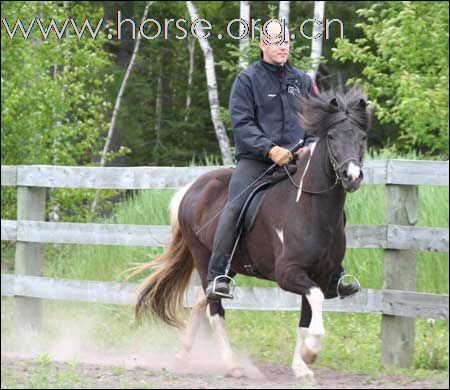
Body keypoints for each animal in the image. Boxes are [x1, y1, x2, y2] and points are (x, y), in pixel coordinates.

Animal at [133, 87, 370, 378]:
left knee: (204, 296)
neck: (309, 209)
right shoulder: (288, 273)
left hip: (228, 264)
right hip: (202, 255)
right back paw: (232, 365)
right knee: (214, 307)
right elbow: (314, 300)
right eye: (332, 136)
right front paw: (311, 352)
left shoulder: (321, 275)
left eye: (362, 137)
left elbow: (307, 316)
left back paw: (182, 355)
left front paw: (301, 366)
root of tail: (191, 189)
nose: (352, 176)